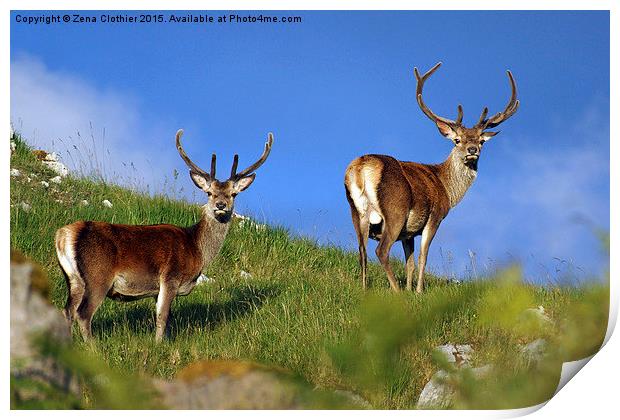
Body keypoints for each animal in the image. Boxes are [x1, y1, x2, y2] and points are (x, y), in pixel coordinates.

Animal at [55, 129, 274, 342]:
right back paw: (92, 347)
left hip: (73, 279)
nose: (221, 205)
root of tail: (64, 235)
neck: (196, 248)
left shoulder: (156, 289)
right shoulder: (170, 277)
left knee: (67, 312)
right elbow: (162, 316)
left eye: (233, 194)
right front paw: (158, 344)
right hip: (98, 275)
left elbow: (165, 318)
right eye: (209, 193)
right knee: (83, 313)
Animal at [344, 61, 520, 292]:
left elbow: (409, 261)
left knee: (362, 252)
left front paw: (410, 288)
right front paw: (418, 291)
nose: (472, 150)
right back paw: (396, 291)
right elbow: (423, 257)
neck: (446, 187)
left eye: (481, 141)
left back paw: (366, 290)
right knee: (381, 250)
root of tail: (362, 166)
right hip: (395, 209)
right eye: (457, 140)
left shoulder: (408, 232)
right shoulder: (435, 217)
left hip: (356, 212)